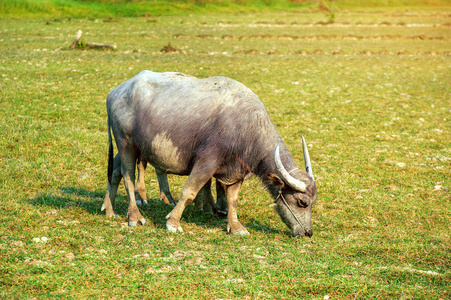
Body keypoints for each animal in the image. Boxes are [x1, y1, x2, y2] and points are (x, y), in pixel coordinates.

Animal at [103, 71, 316, 237]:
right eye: (302, 202)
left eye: (313, 203)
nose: (307, 232)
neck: (247, 128)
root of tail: (115, 92)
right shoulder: (206, 162)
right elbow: (189, 191)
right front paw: (173, 222)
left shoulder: (236, 171)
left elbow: (232, 200)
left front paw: (235, 226)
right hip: (126, 143)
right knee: (128, 176)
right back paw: (134, 216)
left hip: (131, 146)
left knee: (115, 172)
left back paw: (108, 209)